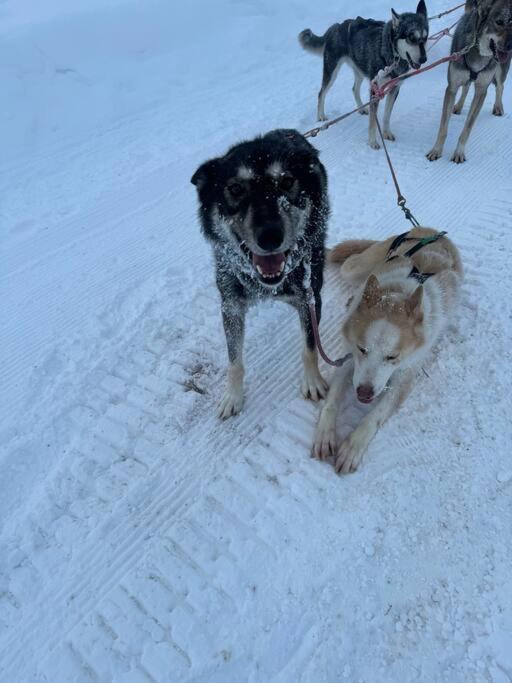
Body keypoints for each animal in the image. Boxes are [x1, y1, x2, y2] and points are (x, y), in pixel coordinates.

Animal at [191, 127, 328, 416]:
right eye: (234, 188)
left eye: (286, 181)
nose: (270, 236)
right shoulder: (230, 305)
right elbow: (234, 361)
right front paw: (232, 396)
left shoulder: (310, 299)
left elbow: (309, 347)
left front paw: (312, 380)